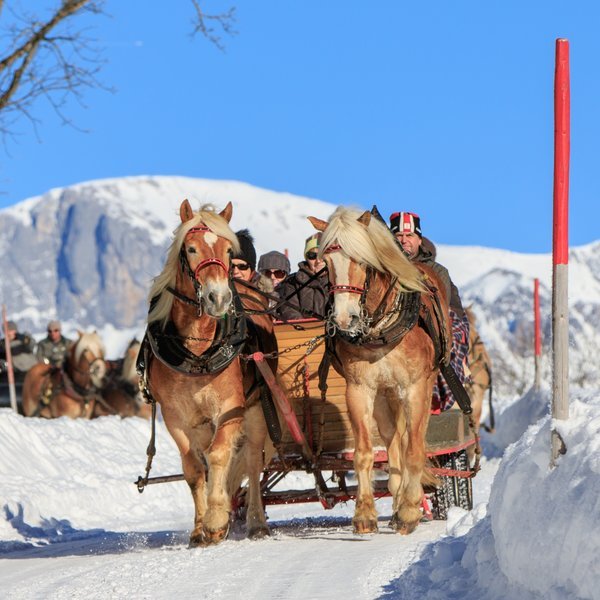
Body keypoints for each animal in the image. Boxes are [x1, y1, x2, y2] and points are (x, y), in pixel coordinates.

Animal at [142, 199, 278, 548]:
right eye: (190, 248)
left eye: (229, 251)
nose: (219, 298)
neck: (198, 351)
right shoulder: (175, 417)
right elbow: (193, 468)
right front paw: (199, 529)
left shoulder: (232, 407)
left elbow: (218, 456)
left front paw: (216, 520)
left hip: (258, 409)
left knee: (253, 461)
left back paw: (256, 522)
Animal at [310, 207, 450, 536]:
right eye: (327, 264)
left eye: (362, 260)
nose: (344, 319)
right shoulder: (359, 388)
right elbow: (364, 453)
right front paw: (364, 514)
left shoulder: (415, 387)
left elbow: (414, 450)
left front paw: (410, 510)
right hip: (386, 394)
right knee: (392, 439)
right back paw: (397, 498)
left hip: (419, 388)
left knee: (412, 439)